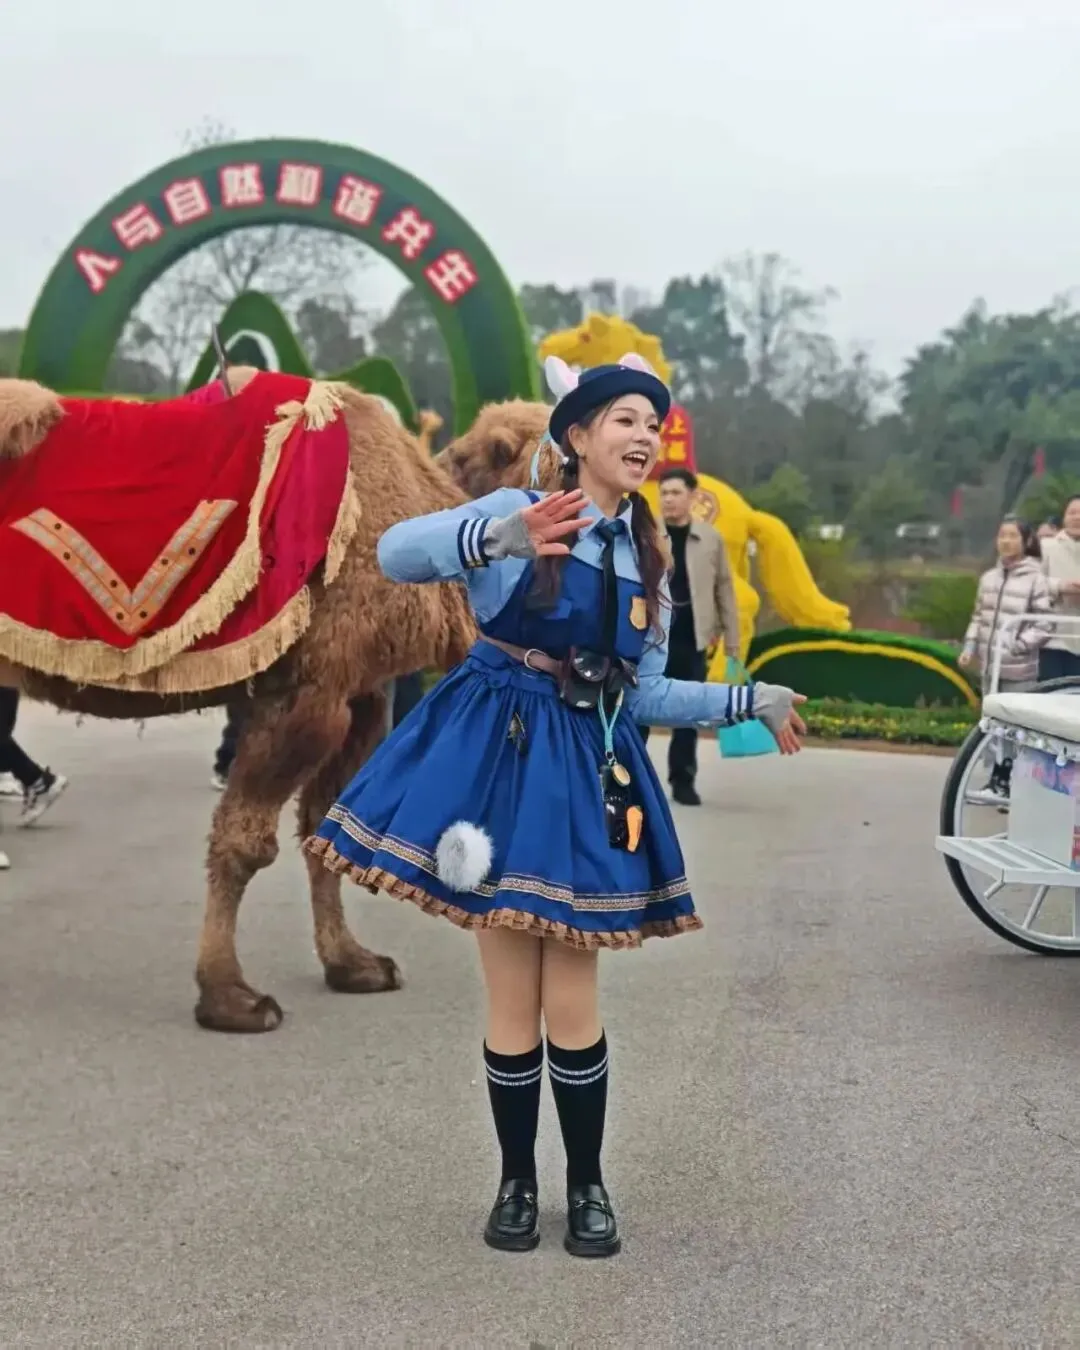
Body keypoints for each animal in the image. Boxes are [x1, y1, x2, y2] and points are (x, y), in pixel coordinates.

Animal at [0, 366, 476, 1033]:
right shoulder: (307, 692)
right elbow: (246, 842)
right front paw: (229, 998)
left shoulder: (360, 693)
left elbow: (322, 832)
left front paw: (353, 965)